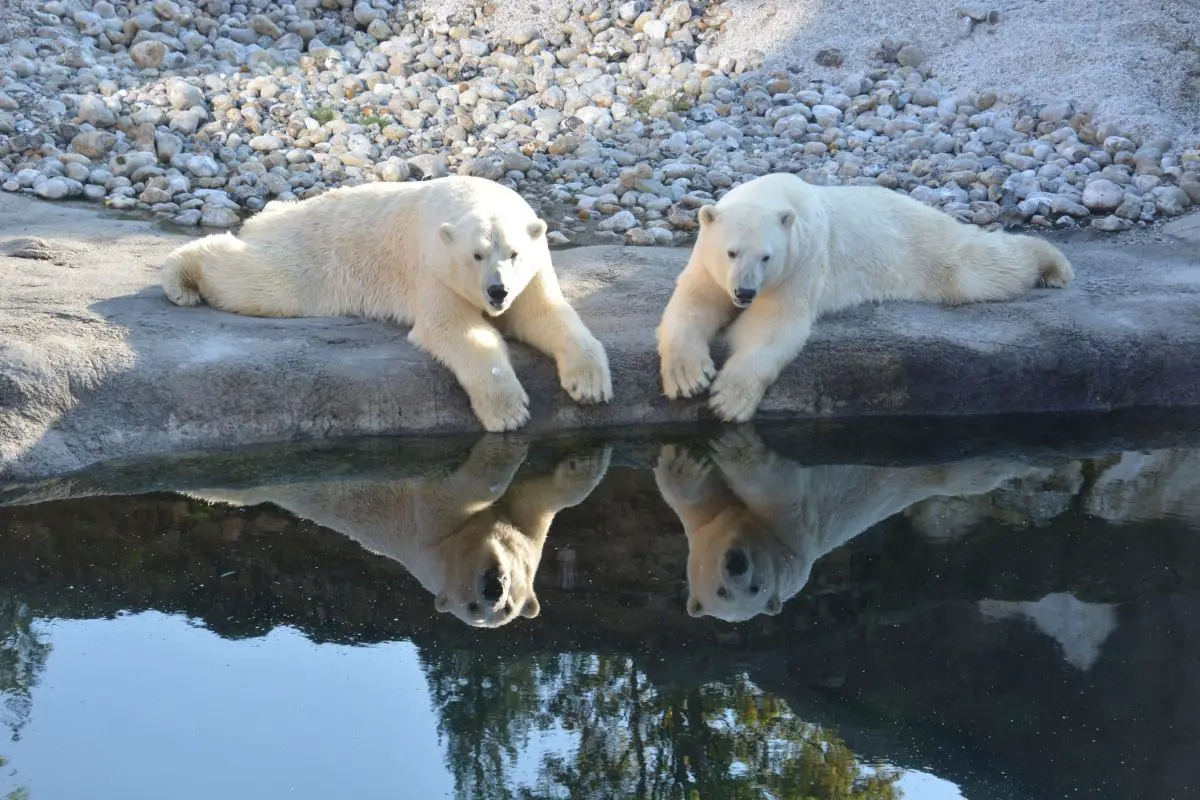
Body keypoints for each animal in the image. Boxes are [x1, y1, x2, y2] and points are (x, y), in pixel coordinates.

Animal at [159, 178, 609, 434]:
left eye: (514, 253)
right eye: (477, 255)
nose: (497, 292)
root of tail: (270, 215)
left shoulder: (533, 272)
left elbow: (543, 314)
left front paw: (589, 386)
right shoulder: (434, 266)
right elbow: (454, 329)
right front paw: (508, 411)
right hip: (312, 254)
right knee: (260, 281)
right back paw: (180, 278)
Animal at [183, 434, 614, 628]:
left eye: (508, 608)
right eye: (471, 607)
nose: (493, 589)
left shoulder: (525, 531)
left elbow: (539, 501)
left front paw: (586, 461)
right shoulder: (431, 534)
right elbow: (455, 491)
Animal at [657, 429, 1051, 623]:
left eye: (756, 588)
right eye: (722, 593)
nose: (737, 564)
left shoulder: (792, 538)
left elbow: (781, 490)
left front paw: (735, 446)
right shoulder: (709, 526)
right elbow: (698, 498)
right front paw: (683, 460)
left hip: (939, 469)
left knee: (976, 471)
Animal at [662, 173, 1075, 424]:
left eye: (767, 256)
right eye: (730, 252)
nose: (744, 292)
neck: (775, 195)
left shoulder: (802, 262)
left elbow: (772, 325)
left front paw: (728, 400)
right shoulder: (707, 261)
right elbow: (694, 303)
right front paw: (689, 378)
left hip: (926, 248)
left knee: (978, 269)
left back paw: (1052, 265)